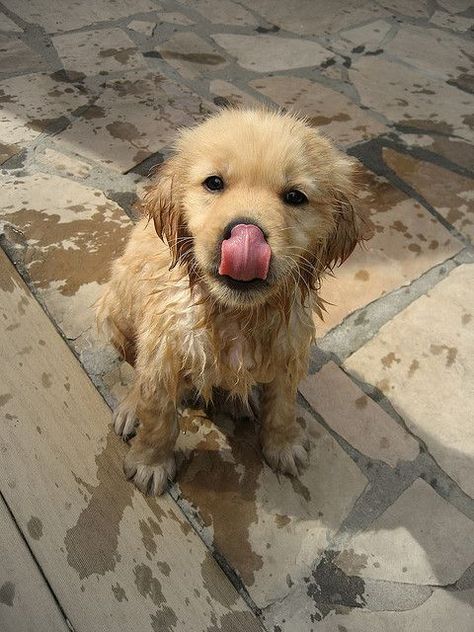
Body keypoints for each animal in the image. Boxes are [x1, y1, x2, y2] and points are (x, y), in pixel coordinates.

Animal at [95, 107, 370, 494]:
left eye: (295, 197)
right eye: (214, 183)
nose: (245, 234)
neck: (235, 313)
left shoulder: (289, 347)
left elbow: (283, 404)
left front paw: (283, 444)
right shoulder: (164, 347)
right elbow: (158, 410)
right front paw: (151, 461)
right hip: (114, 309)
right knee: (136, 370)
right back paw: (132, 407)